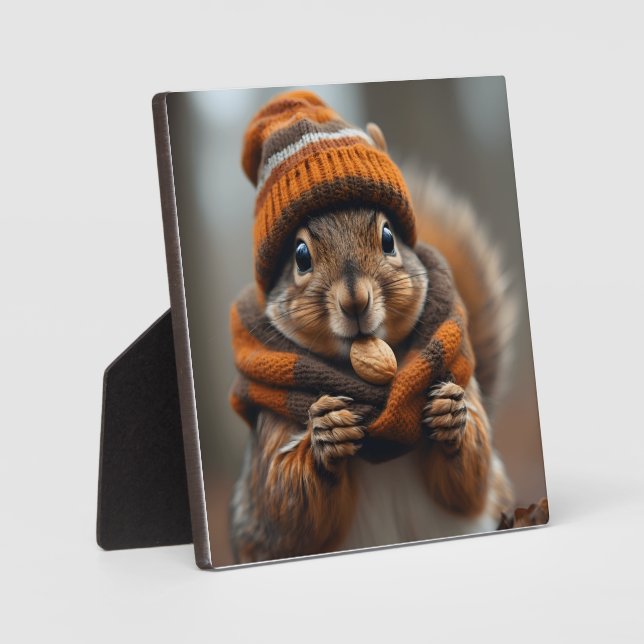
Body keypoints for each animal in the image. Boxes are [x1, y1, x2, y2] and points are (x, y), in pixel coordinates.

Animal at [229, 91, 515, 564]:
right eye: (300, 256)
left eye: (388, 237)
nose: (355, 300)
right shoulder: (271, 426)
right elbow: (285, 505)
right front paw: (324, 436)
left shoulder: (460, 380)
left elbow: (467, 483)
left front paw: (451, 416)